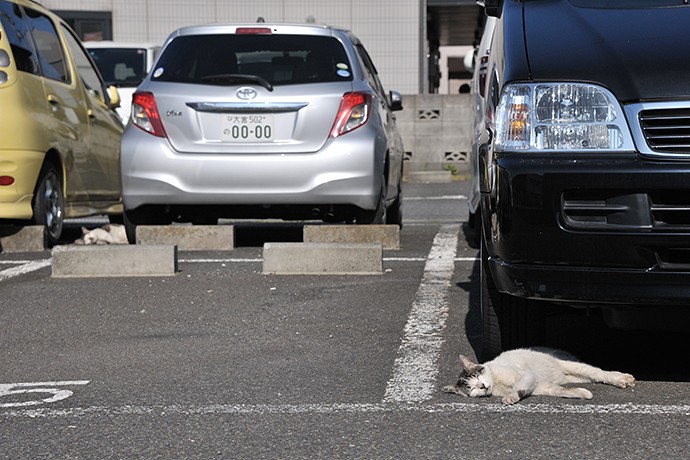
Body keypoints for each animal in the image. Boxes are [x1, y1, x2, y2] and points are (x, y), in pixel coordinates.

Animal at [444, 346, 632, 404]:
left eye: (477, 377)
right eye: (471, 389)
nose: (482, 386)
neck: (497, 385)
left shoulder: (525, 376)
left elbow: (518, 387)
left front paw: (511, 397)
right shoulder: (541, 386)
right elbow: (563, 391)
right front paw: (583, 394)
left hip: (575, 366)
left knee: (599, 372)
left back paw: (623, 379)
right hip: (574, 376)